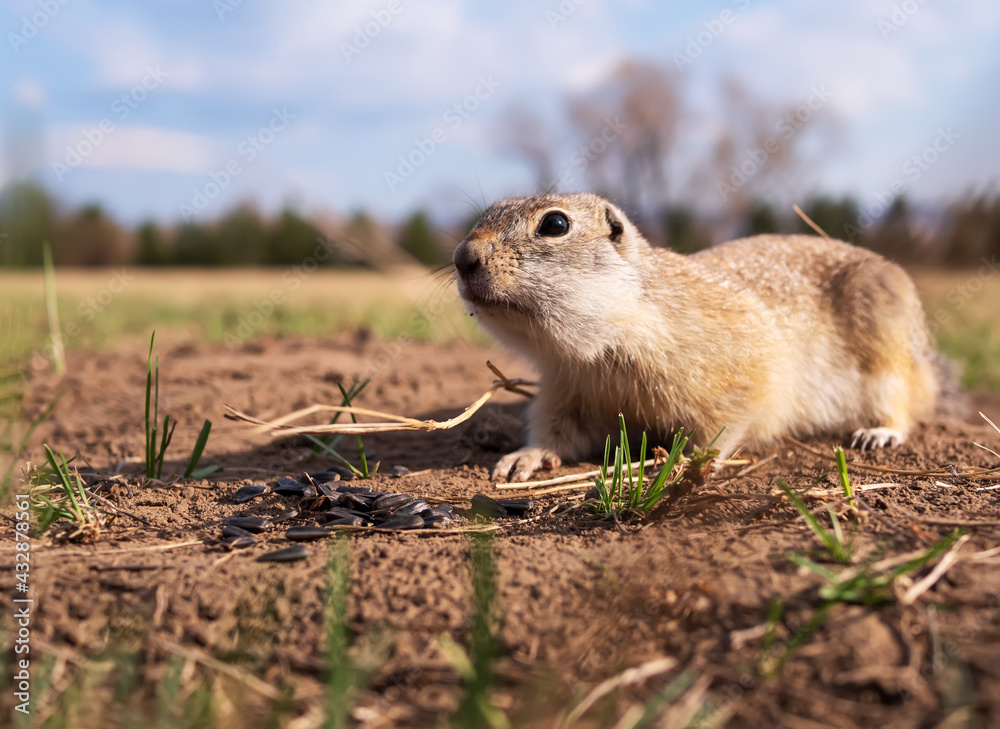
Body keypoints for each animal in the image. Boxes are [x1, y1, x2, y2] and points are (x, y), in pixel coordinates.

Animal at [458, 192, 940, 484]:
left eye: (555, 224)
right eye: (485, 214)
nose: (462, 256)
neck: (599, 350)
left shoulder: (734, 373)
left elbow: (723, 427)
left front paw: (684, 466)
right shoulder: (565, 390)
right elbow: (557, 434)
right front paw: (523, 458)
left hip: (889, 357)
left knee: (905, 403)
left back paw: (879, 433)